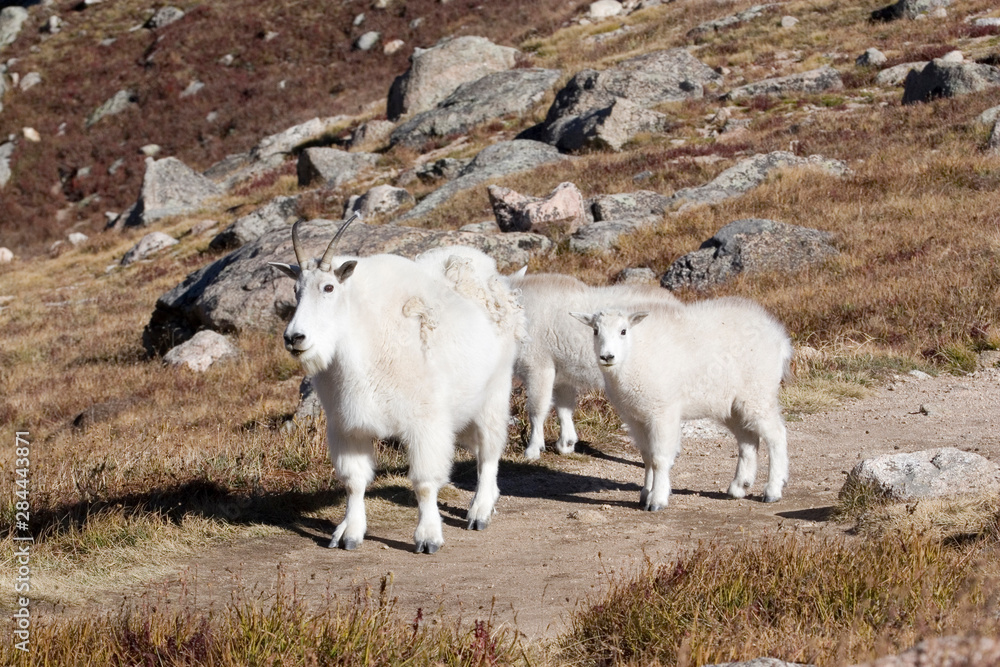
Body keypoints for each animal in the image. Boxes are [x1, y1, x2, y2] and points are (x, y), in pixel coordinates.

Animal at [270, 219, 528, 552]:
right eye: (295, 289)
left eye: (329, 287)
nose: (294, 338)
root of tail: (499, 284)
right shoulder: (347, 425)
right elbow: (353, 481)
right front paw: (348, 534)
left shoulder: (425, 422)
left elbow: (425, 482)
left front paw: (428, 537)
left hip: (495, 391)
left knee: (489, 452)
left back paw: (480, 511)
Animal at [508, 274, 680, 462]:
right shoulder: (562, 374)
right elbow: (564, 407)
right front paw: (566, 444)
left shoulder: (538, 366)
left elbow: (537, 408)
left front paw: (532, 450)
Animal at [576, 298, 792, 512]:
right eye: (595, 330)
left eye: (623, 331)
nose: (607, 357)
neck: (634, 354)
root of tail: (779, 337)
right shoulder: (635, 417)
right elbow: (647, 457)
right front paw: (645, 495)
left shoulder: (663, 411)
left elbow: (659, 458)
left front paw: (657, 500)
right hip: (733, 405)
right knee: (748, 440)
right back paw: (739, 486)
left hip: (759, 392)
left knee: (776, 435)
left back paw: (773, 490)